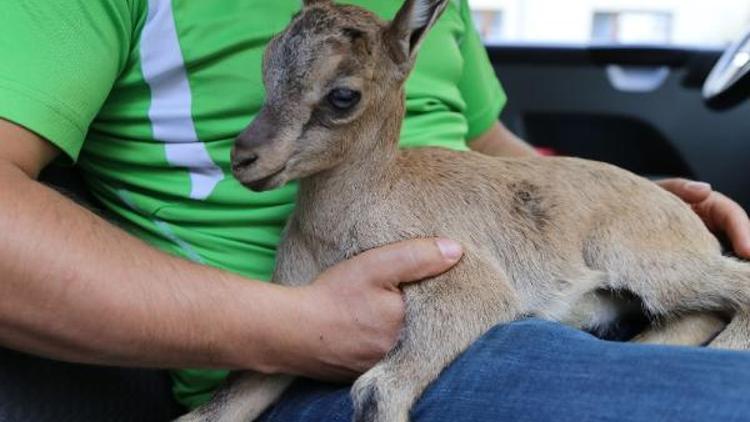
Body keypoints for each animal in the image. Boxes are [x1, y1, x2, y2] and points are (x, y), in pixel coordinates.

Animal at [181, 0, 750, 422]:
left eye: (343, 95)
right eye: (266, 65)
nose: (245, 157)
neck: (339, 229)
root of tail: (684, 214)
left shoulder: (464, 280)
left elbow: (377, 389)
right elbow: (214, 410)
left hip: (643, 256)